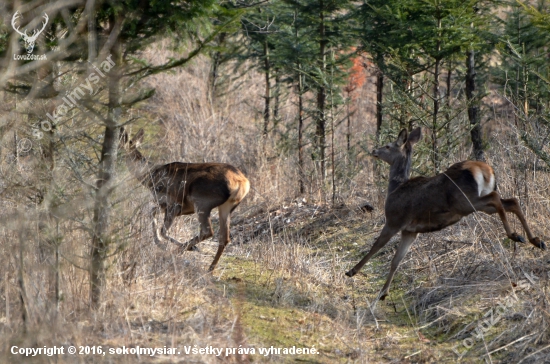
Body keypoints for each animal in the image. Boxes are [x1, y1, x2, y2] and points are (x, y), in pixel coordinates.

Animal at [122, 126, 251, 272]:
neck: (151, 178)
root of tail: (242, 182)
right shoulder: (167, 205)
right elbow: (152, 213)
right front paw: (160, 243)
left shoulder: (174, 203)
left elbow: (163, 230)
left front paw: (168, 246)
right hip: (227, 207)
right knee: (224, 237)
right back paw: (209, 269)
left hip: (201, 201)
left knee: (207, 231)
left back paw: (179, 252)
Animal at [348, 129, 544, 302]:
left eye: (388, 146)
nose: (374, 150)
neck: (395, 189)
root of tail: (484, 168)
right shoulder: (410, 231)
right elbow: (396, 261)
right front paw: (383, 293)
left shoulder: (394, 220)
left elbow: (376, 246)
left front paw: (352, 271)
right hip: (476, 202)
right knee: (512, 201)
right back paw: (535, 240)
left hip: (465, 201)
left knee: (497, 199)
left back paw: (514, 235)